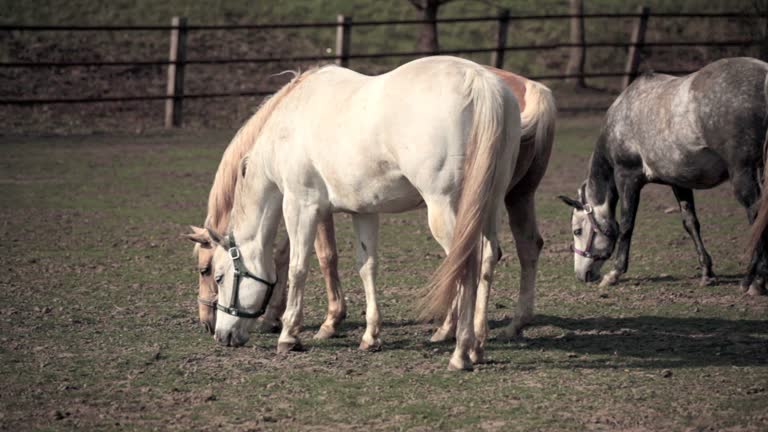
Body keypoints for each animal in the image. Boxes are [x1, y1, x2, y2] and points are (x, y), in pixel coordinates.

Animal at [187, 55, 520, 370]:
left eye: (215, 275)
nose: (219, 334)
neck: (288, 124)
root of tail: (478, 80)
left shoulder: (301, 205)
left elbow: (298, 266)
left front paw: (289, 335)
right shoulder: (364, 212)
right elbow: (366, 266)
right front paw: (371, 336)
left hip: (444, 207)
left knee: (466, 263)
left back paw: (461, 351)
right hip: (487, 206)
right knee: (487, 257)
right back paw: (477, 346)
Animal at [560, 56, 768, 294]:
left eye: (577, 230)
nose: (581, 275)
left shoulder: (628, 177)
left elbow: (626, 225)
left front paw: (615, 273)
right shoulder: (680, 181)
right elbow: (690, 223)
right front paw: (707, 272)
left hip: (742, 173)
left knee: (756, 216)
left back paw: (754, 281)